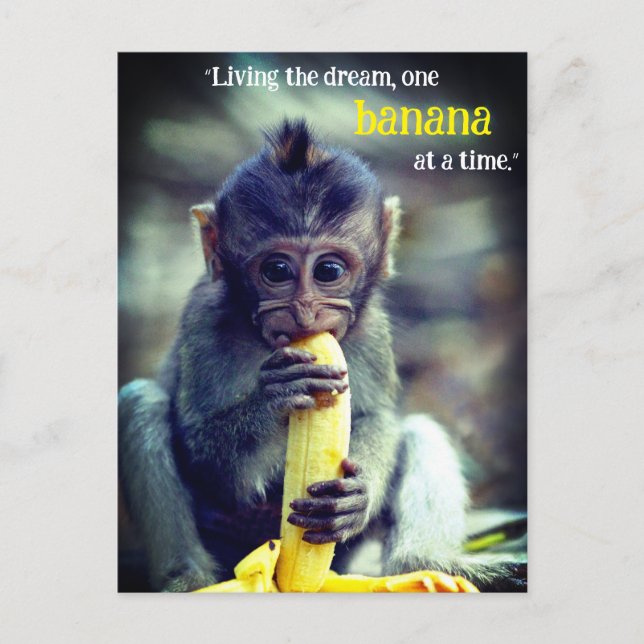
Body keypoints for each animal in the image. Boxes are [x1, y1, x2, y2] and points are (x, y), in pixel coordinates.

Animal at [119, 120, 524, 592]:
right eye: (276, 270)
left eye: (328, 270)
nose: (305, 312)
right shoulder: (203, 323)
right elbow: (204, 453)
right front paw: (274, 397)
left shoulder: (371, 331)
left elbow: (376, 418)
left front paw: (357, 496)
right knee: (141, 402)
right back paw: (188, 577)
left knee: (419, 431)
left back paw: (426, 564)